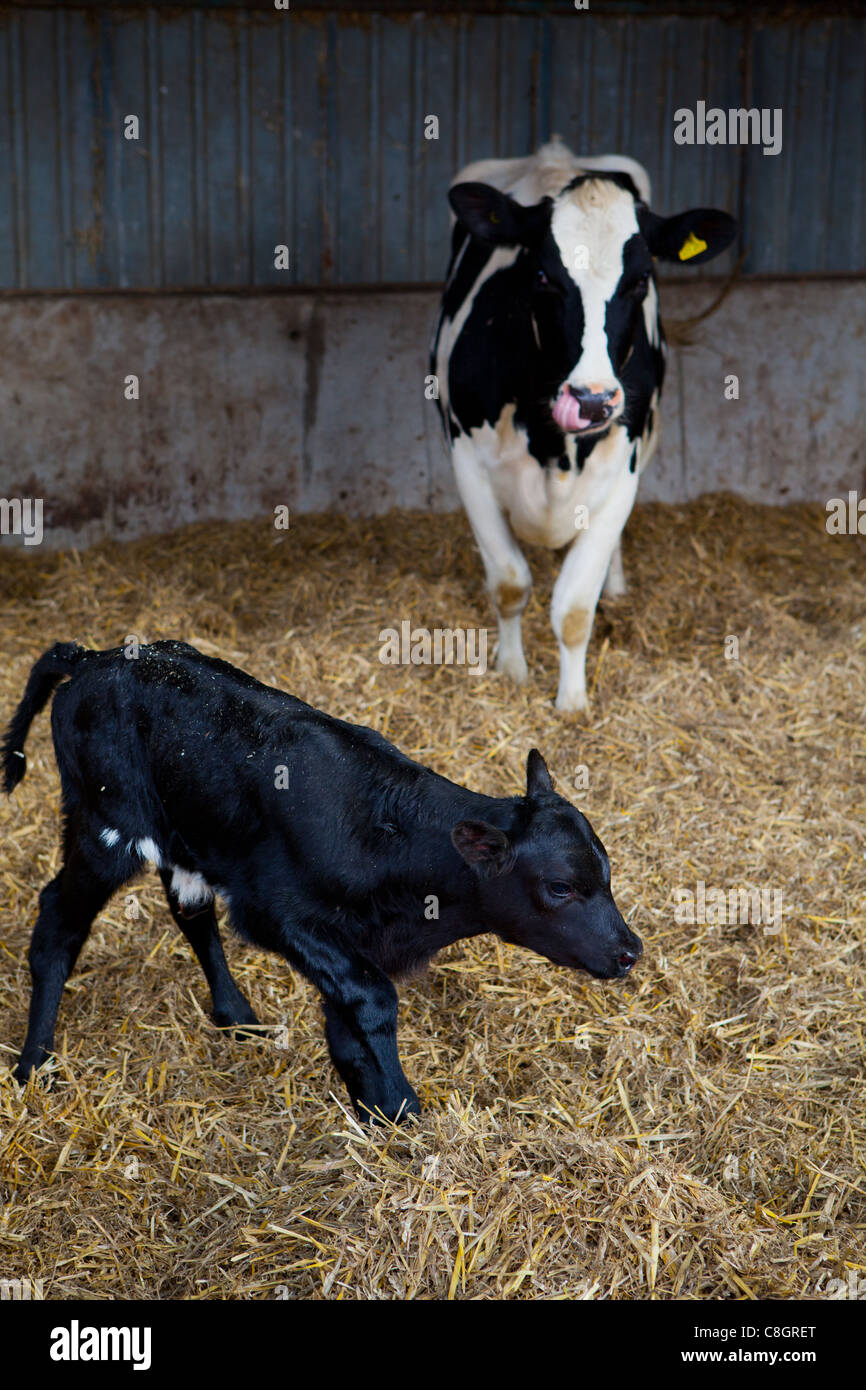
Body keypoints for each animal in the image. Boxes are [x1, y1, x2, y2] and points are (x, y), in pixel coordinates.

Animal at [3, 640, 641, 1123]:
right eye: (560, 888)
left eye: (607, 872)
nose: (630, 951)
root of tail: (92, 658)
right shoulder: (279, 915)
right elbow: (374, 1000)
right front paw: (403, 1110)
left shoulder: (350, 942)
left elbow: (348, 1021)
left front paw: (377, 1112)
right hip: (104, 828)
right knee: (57, 923)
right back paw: (34, 1063)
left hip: (182, 839)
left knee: (190, 913)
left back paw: (237, 1016)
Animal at [431, 137, 737, 711]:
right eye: (542, 277)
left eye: (640, 280)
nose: (592, 399)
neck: (554, 448)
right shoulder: (467, 460)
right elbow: (510, 582)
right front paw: (512, 671)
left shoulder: (622, 470)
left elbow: (574, 608)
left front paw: (572, 703)